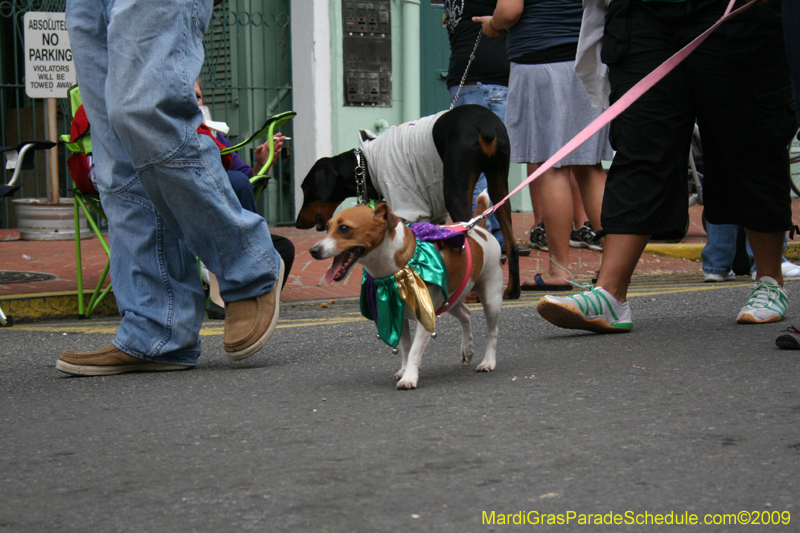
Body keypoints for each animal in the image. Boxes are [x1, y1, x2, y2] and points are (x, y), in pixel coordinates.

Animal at [310, 195, 504, 386]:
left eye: (344, 228)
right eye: (327, 227)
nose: (313, 250)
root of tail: (478, 227)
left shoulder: (425, 317)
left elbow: (414, 350)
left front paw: (409, 377)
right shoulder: (398, 316)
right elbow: (405, 348)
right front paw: (404, 370)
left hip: (491, 298)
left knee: (492, 331)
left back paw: (488, 361)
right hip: (451, 299)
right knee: (465, 314)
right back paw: (467, 348)